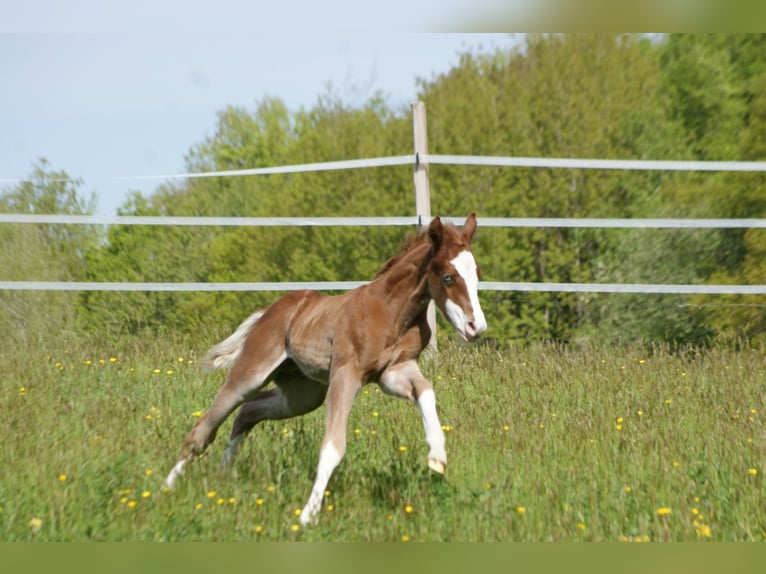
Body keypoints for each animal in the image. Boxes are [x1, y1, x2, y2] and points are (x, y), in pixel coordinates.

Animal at [164, 213, 487, 525]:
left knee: (248, 412)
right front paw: (308, 515)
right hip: (252, 372)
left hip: (302, 395)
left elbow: (426, 391)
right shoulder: (346, 375)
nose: (477, 328)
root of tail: (268, 312)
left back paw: (222, 474)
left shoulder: (394, 372)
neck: (390, 311)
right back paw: (167, 487)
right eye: (448, 277)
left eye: (477, 275)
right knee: (206, 425)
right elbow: (333, 446)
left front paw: (437, 454)